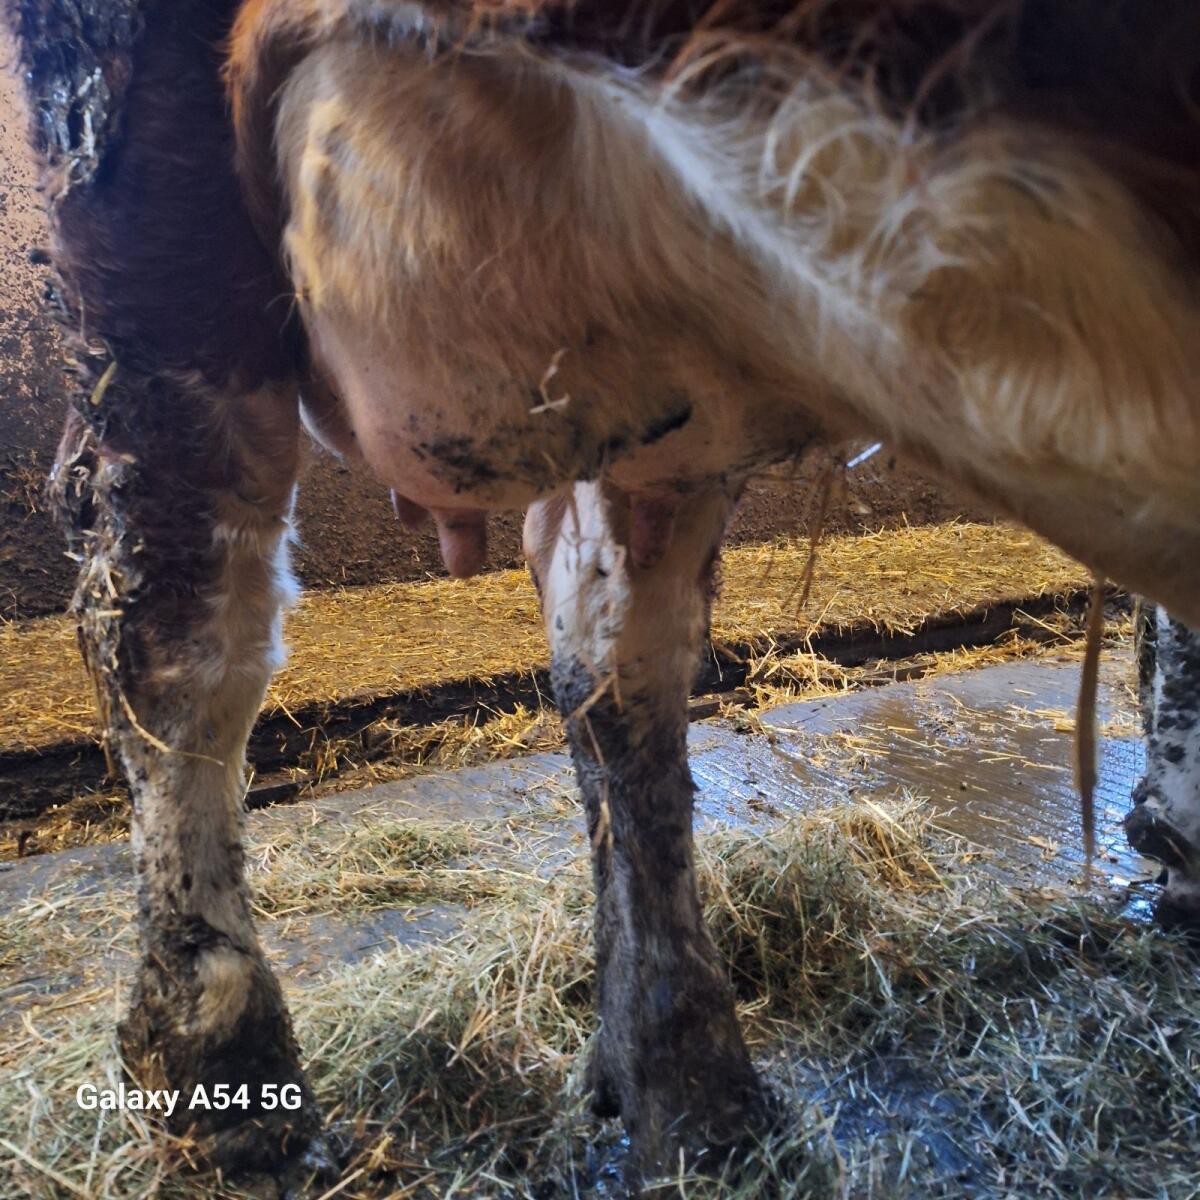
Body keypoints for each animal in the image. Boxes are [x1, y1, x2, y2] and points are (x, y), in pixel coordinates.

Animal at [7, 0, 1200, 1183]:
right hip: (147, 208)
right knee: (178, 636)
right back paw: (226, 1084)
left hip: (656, 363)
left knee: (614, 657)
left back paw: (682, 1081)